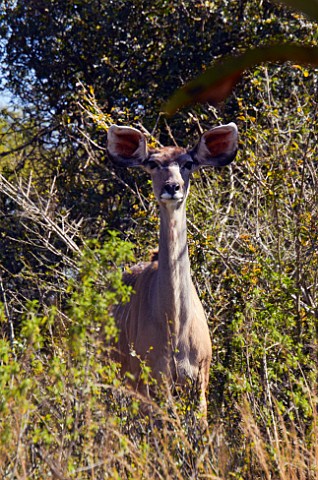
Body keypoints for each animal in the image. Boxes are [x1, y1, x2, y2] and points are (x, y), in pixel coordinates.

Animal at [107, 122, 238, 414]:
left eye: (188, 163)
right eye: (153, 163)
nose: (172, 186)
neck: (175, 325)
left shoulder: (199, 382)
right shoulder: (154, 382)